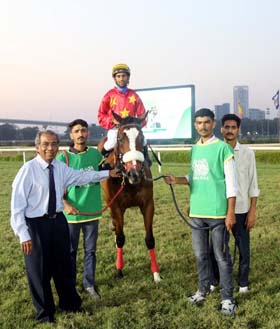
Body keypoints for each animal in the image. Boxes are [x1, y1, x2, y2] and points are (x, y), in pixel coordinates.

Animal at [98, 112, 161, 282]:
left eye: (142, 137)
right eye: (120, 138)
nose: (135, 174)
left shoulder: (148, 204)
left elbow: (149, 239)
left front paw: (156, 273)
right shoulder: (115, 206)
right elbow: (120, 238)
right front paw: (119, 270)